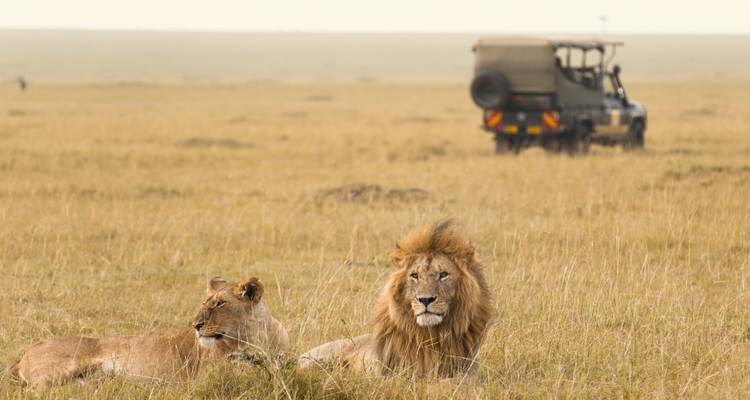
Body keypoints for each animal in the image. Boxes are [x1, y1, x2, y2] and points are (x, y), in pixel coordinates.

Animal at [11, 276, 289, 387]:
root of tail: (24, 353)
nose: (195, 325)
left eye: (220, 303)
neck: (258, 336)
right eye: (205, 302)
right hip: (58, 370)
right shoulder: (207, 376)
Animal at [299, 221, 494, 378]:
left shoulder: (469, 372)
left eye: (443, 274)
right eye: (415, 275)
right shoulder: (390, 373)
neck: (430, 335)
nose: (425, 300)